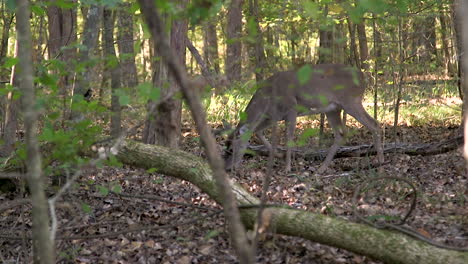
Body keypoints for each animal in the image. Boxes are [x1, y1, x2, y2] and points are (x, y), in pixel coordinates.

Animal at [226, 64, 384, 173]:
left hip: (351, 101)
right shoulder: (272, 116)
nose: (229, 168)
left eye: (232, 148)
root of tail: (364, 77)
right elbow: (257, 132)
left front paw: (287, 167)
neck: (268, 97)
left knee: (374, 124)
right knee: (341, 133)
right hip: (333, 109)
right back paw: (321, 168)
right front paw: (278, 155)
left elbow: (288, 137)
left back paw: (380, 162)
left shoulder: (291, 108)